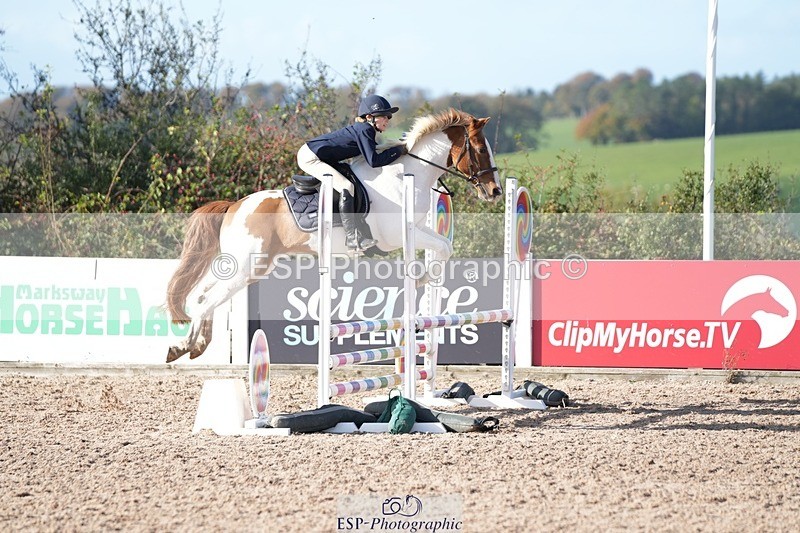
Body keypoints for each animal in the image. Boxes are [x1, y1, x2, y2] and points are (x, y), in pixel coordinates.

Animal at [165, 108, 503, 362]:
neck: (406, 175)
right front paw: (421, 279)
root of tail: (234, 206)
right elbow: (442, 248)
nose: (495, 191)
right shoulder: (398, 234)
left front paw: (424, 280)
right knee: (207, 299)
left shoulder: (417, 229)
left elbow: (444, 244)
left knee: (203, 294)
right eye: (480, 150)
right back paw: (183, 346)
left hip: (243, 265)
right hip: (249, 265)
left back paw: (196, 345)